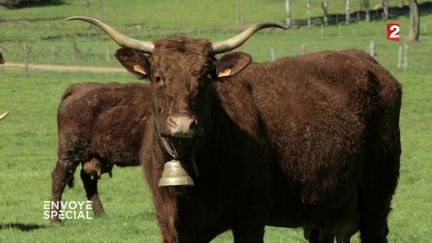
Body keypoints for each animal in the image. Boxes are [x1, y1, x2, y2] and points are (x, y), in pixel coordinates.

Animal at [50, 82, 152, 223]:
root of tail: (77, 88)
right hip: (70, 153)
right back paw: (56, 220)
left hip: (92, 156)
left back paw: (101, 215)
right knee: (59, 177)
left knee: (87, 180)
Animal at [67, 16, 402, 242]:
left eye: (205, 76)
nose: (183, 124)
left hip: (377, 193)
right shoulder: (169, 222)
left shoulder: (250, 215)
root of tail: (367, 60)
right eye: (158, 76)